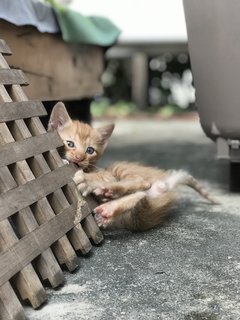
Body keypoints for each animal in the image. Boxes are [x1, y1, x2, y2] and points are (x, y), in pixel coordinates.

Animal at [47, 102, 217, 232]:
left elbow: (98, 176)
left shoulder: (107, 173)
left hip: (121, 167)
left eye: (90, 150)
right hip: (136, 217)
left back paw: (109, 192)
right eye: (70, 144)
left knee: (143, 183)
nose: (79, 157)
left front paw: (86, 179)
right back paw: (109, 207)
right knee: (141, 196)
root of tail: (164, 181)